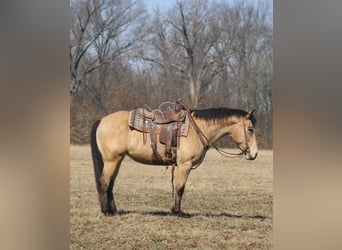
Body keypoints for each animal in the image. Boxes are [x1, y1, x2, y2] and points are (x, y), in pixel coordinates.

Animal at [89, 98, 258, 216]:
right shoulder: (185, 165)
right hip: (111, 160)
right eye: (250, 129)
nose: (254, 153)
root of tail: (102, 120)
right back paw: (107, 211)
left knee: (110, 184)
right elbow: (180, 187)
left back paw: (113, 210)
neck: (197, 129)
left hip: (117, 160)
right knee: (104, 182)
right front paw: (178, 212)